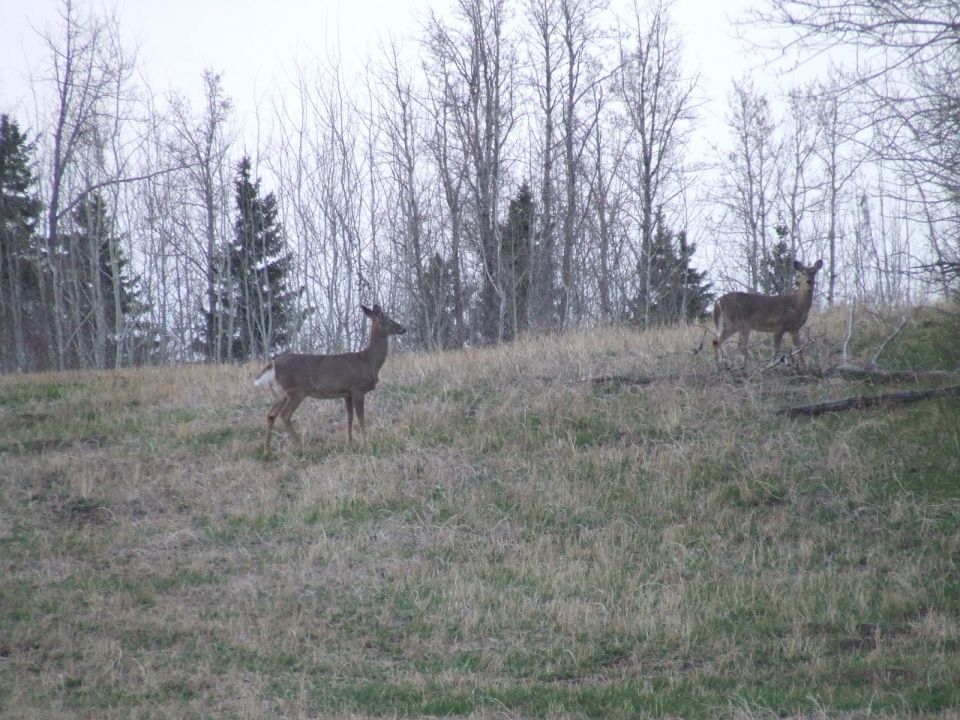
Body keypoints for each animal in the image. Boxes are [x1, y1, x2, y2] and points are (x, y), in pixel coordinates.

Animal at [254, 304, 406, 455]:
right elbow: (361, 418)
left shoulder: (347, 393)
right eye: (389, 319)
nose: (403, 328)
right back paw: (302, 447)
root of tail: (273, 364)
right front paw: (365, 445)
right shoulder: (357, 389)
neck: (368, 361)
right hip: (296, 391)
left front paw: (350, 443)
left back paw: (267, 451)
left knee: (271, 414)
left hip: (280, 393)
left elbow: (349, 418)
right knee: (284, 415)